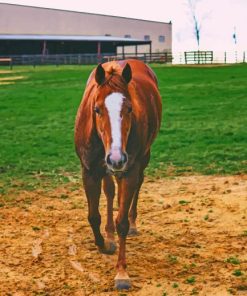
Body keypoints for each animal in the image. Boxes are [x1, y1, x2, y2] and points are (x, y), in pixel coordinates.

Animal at [73, 58, 162, 290]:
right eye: (96, 109)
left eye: (129, 108)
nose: (116, 158)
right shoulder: (89, 171)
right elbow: (93, 216)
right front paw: (104, 244)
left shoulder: (129, 170)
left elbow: (122, 221)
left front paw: (122, 272)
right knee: (111, 191)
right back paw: (109, 234)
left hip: (141, 158)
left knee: (137, 185)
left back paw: (132, 224)